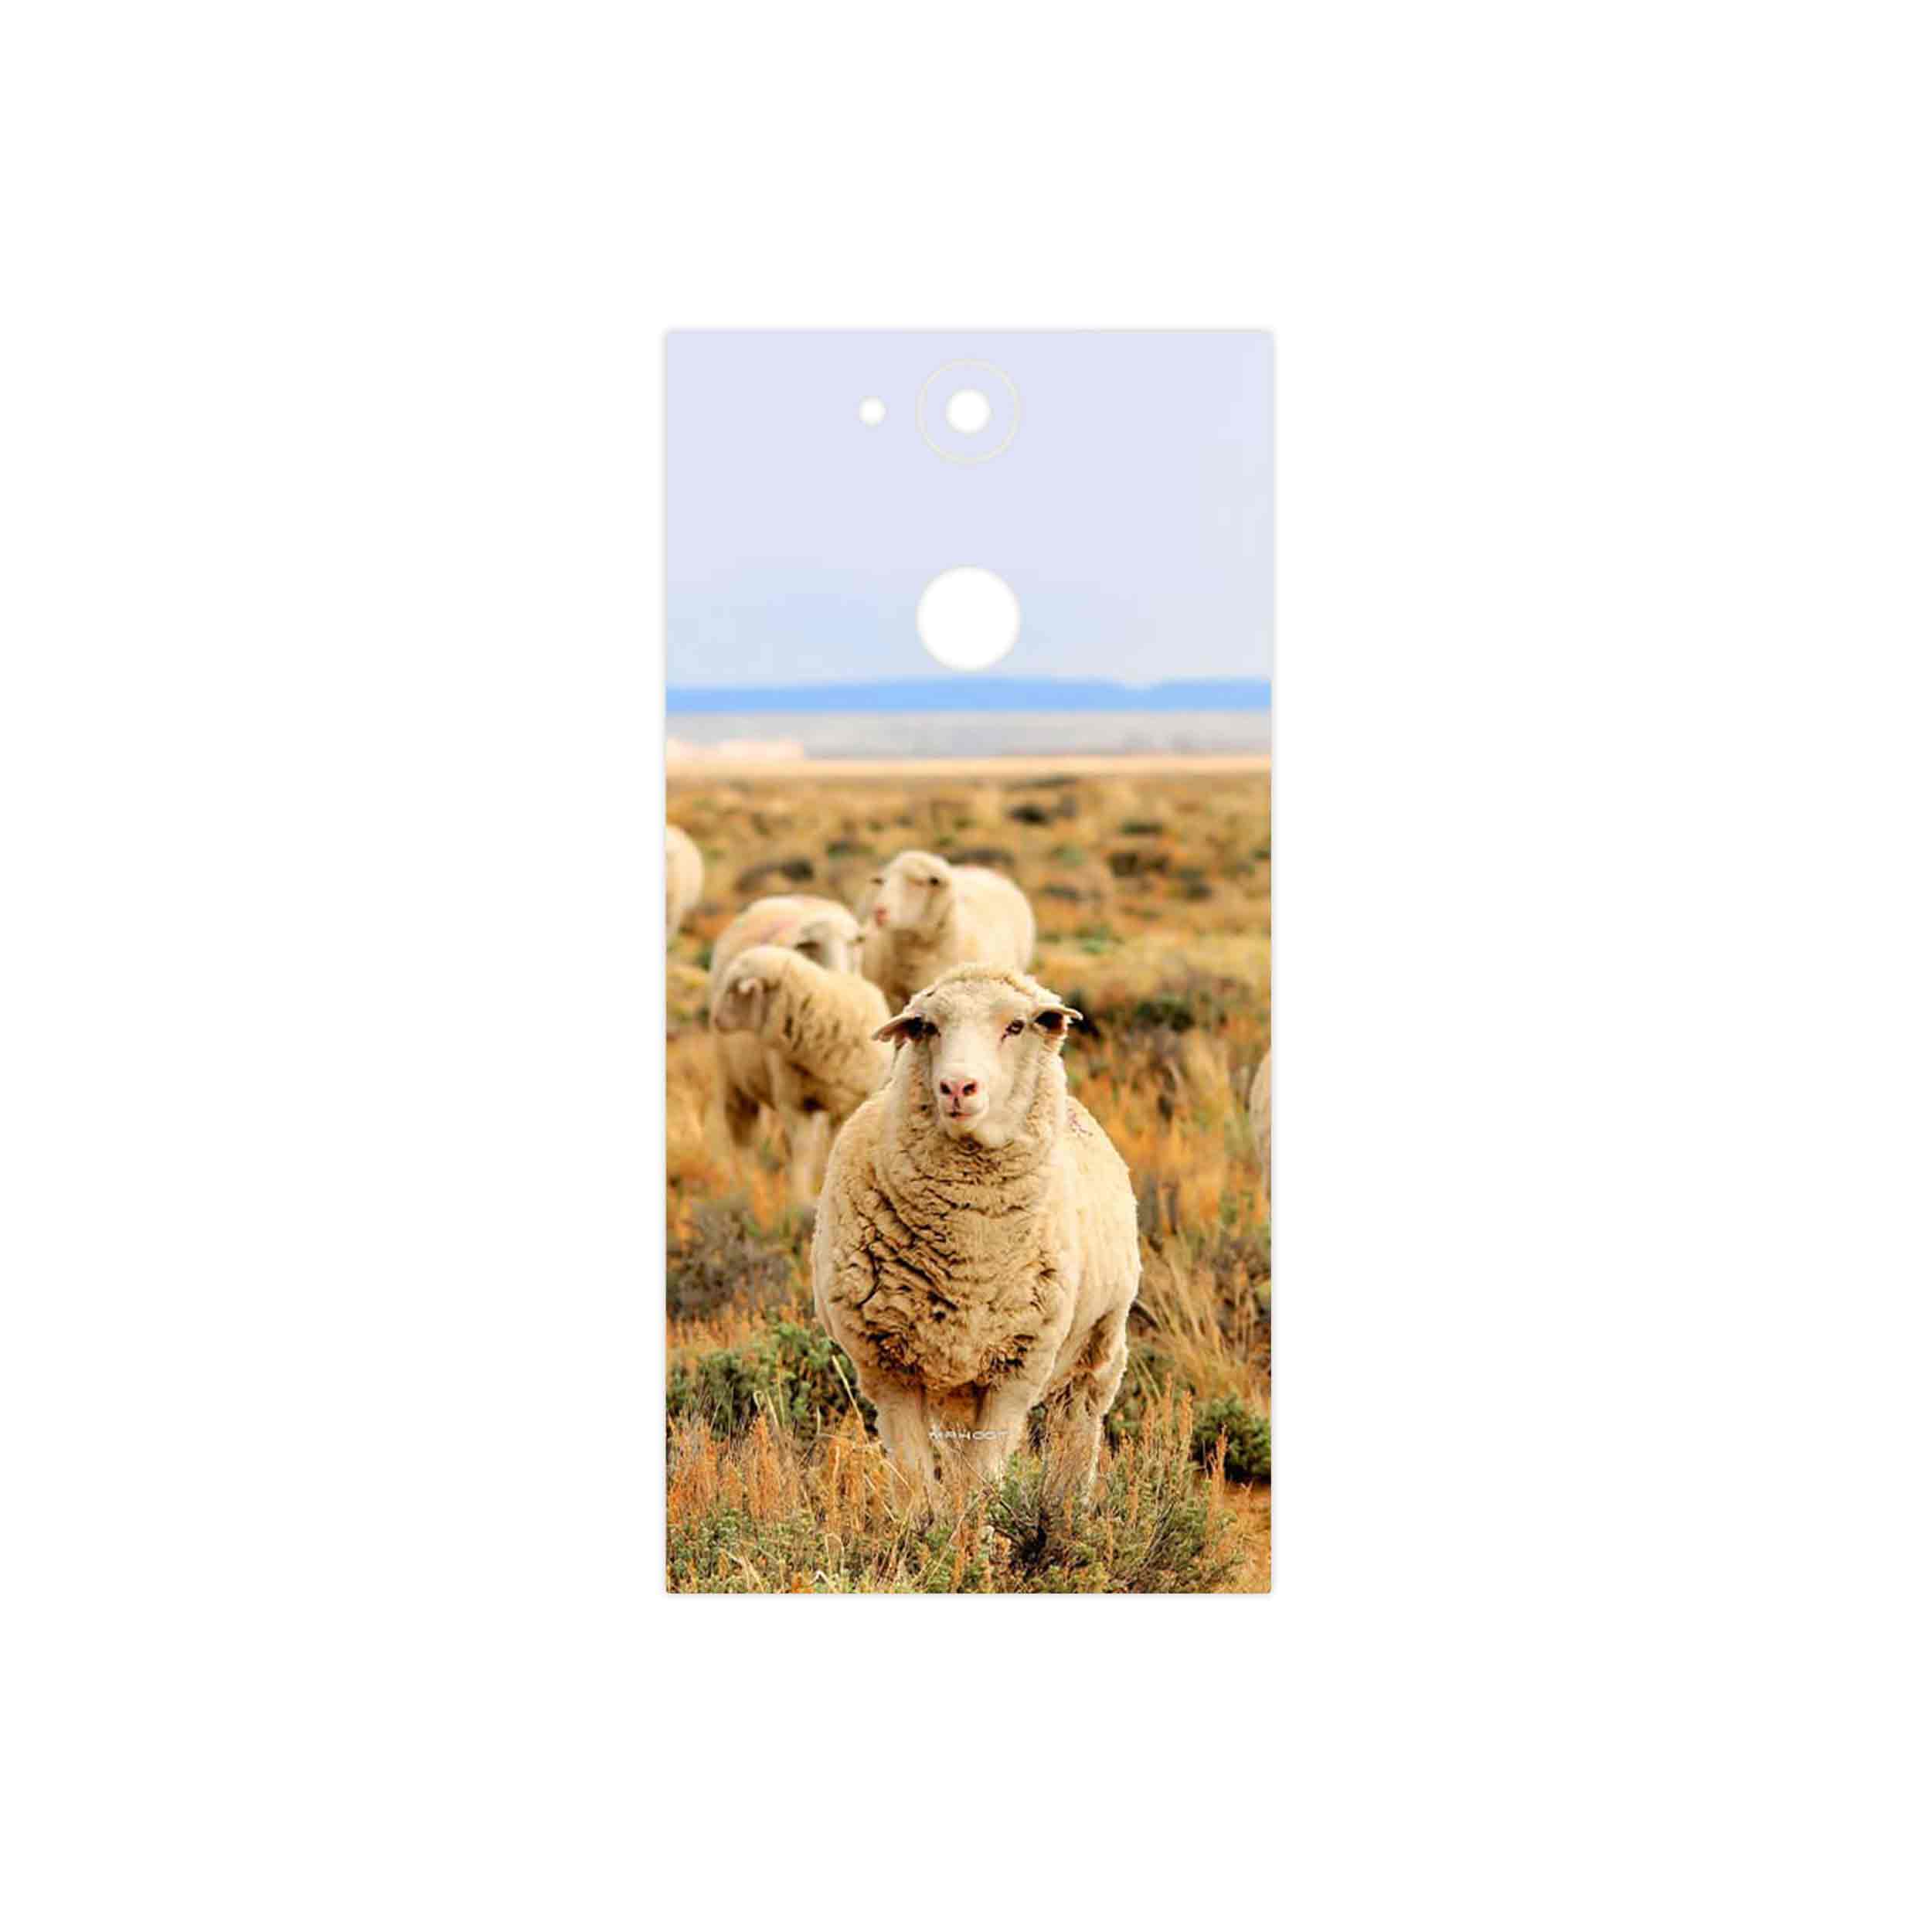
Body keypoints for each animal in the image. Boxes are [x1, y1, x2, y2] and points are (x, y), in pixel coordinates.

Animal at [710, 945, 891, 1203]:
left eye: (735, 990)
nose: (715, 1019)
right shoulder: (795, 1103)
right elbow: (802, 1152)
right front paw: (801, 1198)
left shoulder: (851, 1103)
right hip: (735, 1085)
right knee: (743, 1136)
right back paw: (746, 1184)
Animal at [812, 963, 1140, 1500]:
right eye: (928, 1027)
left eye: (1016, 1026)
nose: (957, 1087)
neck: (969, 1253)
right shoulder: (889, 1370)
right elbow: (916, 1483)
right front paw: (929, 1524)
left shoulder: (1016, 1370)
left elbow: (984, 1481)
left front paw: (982, 1525)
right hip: (956, 1387)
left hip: (1098, 1348)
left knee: (1077, 1429)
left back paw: (1069, 1505)